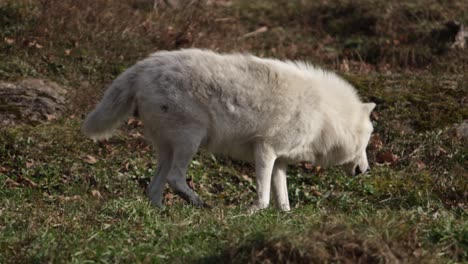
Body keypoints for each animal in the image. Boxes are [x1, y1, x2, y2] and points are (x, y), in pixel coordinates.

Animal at [82, 48, 376, 211]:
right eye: (365, 143)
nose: (365, 171)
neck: (326, 116)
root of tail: (142, 66)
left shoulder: (280, 161)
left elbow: (284, 201)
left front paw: (285, 218)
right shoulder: (265, 150)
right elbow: (265, 198)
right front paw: (252, 212)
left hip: (168, 149)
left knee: (154, 188)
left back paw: (161, 213)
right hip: (190, 140)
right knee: (175, 178)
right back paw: (199, 203)